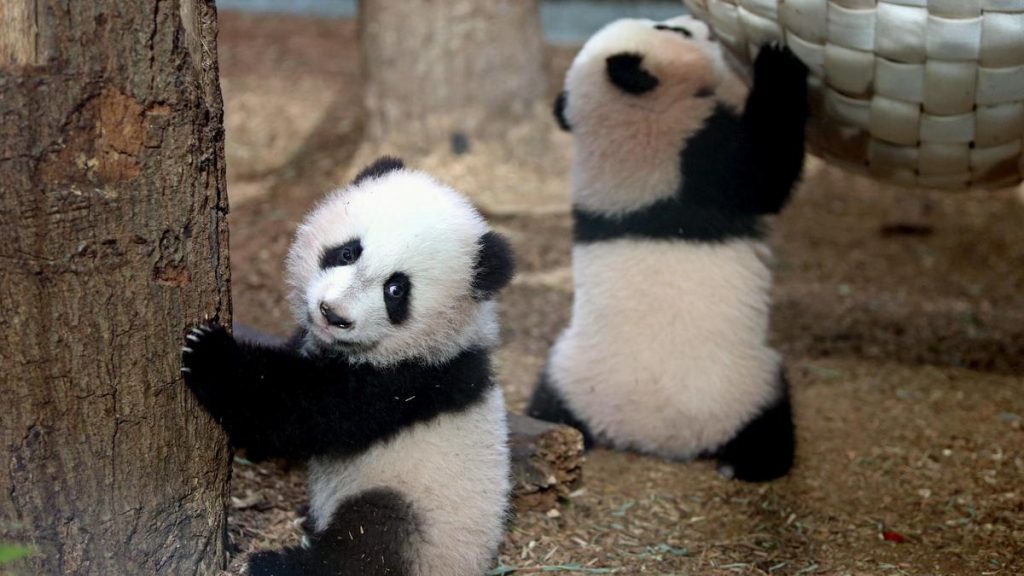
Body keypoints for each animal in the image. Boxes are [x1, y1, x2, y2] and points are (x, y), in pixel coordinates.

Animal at [181, 157, 516, 576]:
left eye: (396, 289)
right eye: (347, 253)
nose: (332, 314)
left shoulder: (409, 381)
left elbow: (302, 412)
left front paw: (210, 354)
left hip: (420, 511)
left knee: (366, 543)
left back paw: (277, 563)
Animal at [527, 16, 809, 482]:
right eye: (668, 28)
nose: (699, 23)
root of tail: (657, 439)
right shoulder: (698, 156)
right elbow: (766, 173)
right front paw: (778, 61)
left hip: (568, 370)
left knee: (548, 402)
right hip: (745, 381)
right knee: (771, 415)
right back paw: (752, 462)